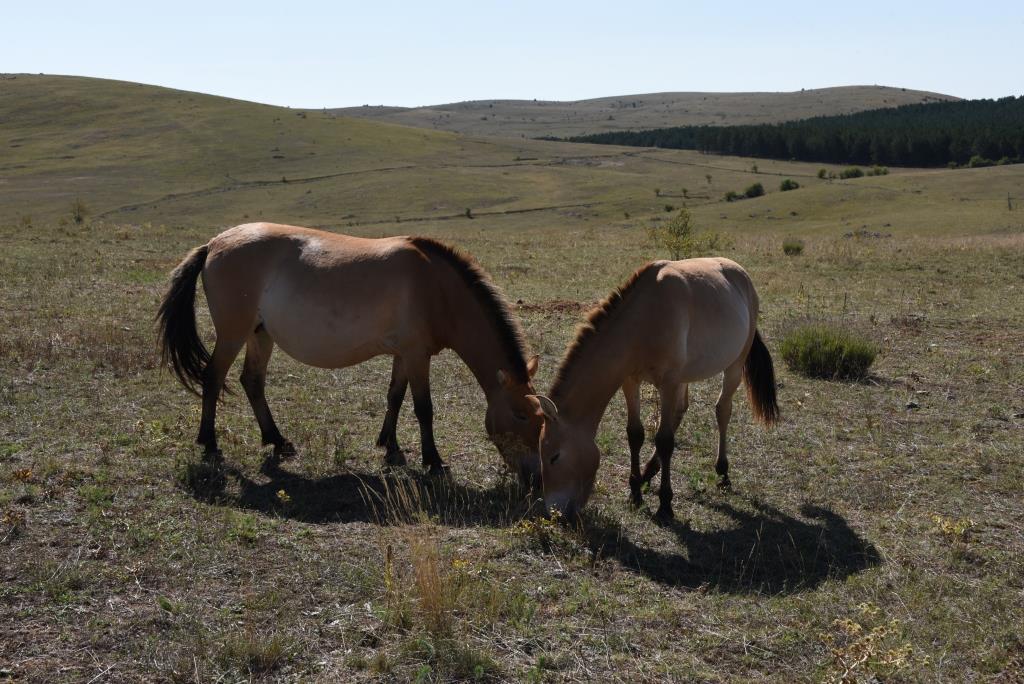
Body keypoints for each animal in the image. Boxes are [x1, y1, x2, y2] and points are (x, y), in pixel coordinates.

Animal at [157, 222, 544, 479]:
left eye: (543, 419)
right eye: (521, 415)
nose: (535, 474)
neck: (438, 289)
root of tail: (214, 243)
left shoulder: (404, 354)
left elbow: (395, 397)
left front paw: (390, 447)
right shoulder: (417, 355)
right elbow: (424, 409)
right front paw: (433, 460)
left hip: (260, 334)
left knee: (252, 382)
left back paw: (277, 441)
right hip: (233, 333)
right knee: (213, 378)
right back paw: (210, 443)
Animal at [528, 255, 774, 518]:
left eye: (554, 457)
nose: (554, 511)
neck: (644, 321)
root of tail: (740, 273)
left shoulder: (668, 383)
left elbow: (664, 441)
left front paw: (665, 505)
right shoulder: (630, 380)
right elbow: (635, 434)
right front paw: (635, 493)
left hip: (734, 366)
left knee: (722, 410)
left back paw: (723, 472)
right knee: (682, 409)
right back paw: (648, 473)